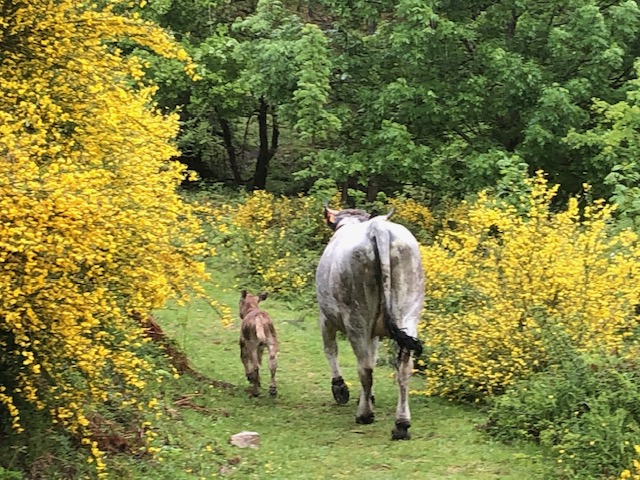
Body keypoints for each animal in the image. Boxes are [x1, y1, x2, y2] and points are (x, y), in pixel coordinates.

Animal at [316, 206, 424, 438]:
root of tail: (378, 228)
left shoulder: (325, 317)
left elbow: (330, 350)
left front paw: (340, 388)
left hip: (356, 318)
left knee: (364, 367)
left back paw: (364, 414)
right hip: (409, 311)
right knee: (403, 367)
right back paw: (401, 424)